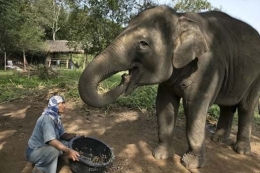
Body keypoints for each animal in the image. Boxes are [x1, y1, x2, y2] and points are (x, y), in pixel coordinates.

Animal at [78, 5, 260, 169]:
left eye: (143, 43)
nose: (124, 78)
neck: (181, 18)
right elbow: (164, 104)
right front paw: (160, 156)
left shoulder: (208, 67)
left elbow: (195, 108)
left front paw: (191, 164)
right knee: (227, 106)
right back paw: (217, 139)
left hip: (256, 79)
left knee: (246, 108)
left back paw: (242, 150)